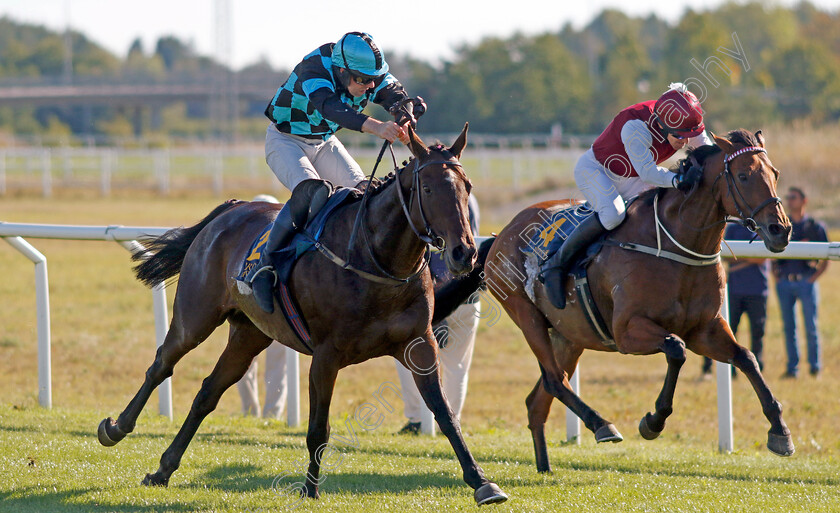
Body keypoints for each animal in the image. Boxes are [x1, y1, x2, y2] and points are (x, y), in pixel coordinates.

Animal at [96, 124, 508, 504]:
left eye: (467, 186)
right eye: (428, 190)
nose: (464, 253)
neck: (375, 258)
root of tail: (229, 209)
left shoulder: (419, 344)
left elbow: (445, 413)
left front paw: (482, 482)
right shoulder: (326, 355)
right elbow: (318, 429)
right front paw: (310, 489)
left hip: (250, 333)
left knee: (208, 392)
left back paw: (163, 469)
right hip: (196, 316)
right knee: (162, 364)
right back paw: (115, 428)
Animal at [482, 129, 792, 472]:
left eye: (775, 173)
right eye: (743, 175)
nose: (780, 230)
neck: (675, 245)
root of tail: (501, 234)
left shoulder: (705, 330)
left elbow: (746, 358)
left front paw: (780, 432)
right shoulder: (627, 332)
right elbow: (676, 349)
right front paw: (653, 421)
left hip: (569, 337)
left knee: (538, 399)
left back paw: (545, 465)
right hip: (527, 317)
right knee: (553, 380)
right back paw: (602, 424)